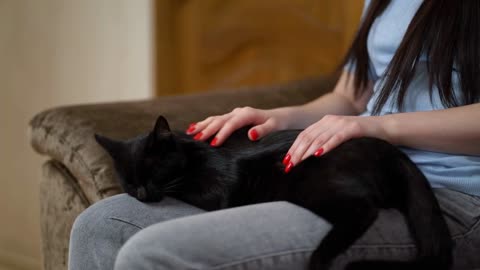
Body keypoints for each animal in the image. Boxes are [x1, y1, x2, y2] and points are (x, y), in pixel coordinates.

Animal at [94, 115, 454, 270]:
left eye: (153, 172)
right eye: (129, 181)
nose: (142, 193)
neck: (193, 154)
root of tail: (392, 152)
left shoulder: (217, 189)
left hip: (313, 188)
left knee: (362, 209)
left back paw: (318, 259)